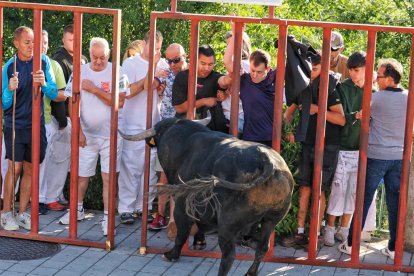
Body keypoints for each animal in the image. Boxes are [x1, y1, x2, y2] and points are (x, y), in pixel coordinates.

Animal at [119, 118, 294, 276]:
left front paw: (172, 254)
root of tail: (266, 160)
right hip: (271, 220)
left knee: (229, 256)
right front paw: (199, 242)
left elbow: (182, 232)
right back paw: (250, 273)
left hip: (227, 224)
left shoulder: (182, 205)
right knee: (262, 247)